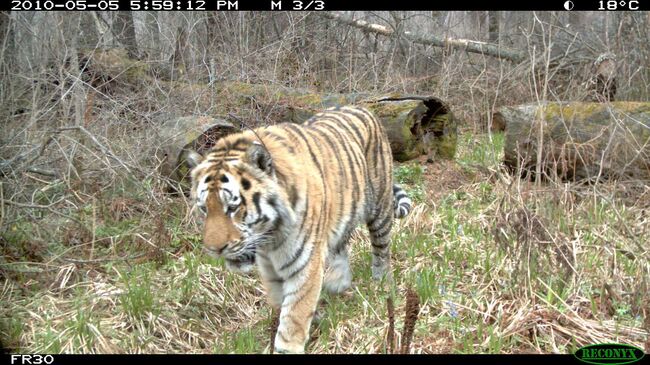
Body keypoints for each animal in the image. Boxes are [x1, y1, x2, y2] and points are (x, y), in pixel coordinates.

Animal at [186, 105, 410, 352]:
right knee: (341, 247)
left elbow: (294, 314)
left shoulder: (304, 264)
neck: (270, 238)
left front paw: (288, 345)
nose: (214, 249)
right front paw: (315, 318)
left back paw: (382, 283)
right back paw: (338, 282)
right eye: (204, 208)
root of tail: (361, 107)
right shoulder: (269, 269)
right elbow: (281, 302)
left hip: (379, 208)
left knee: (381, 249)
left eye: (233, 208)